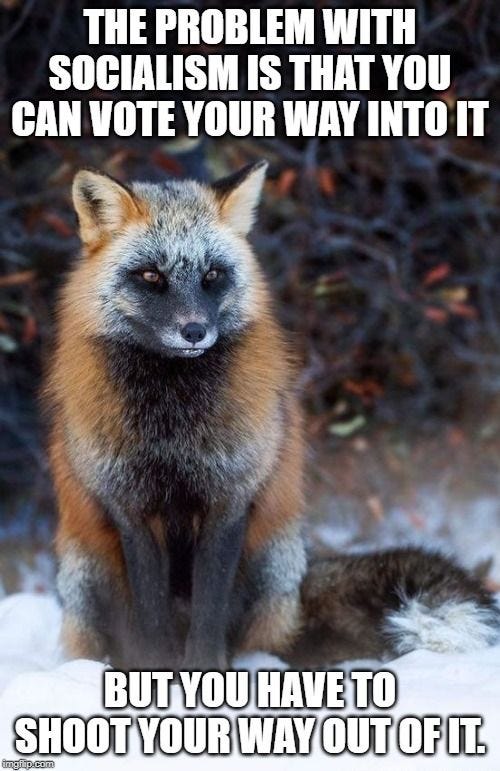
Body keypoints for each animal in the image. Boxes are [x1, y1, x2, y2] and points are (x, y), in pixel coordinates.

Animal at [44, 161, 500, 671]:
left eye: (212, 274)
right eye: (150, 276)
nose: (194, 331)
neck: (172, 426)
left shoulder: (230, 501)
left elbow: (209, 615)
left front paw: (205, 678)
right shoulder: (132, 511)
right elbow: (151, 620)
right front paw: (156, 676)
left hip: (270, 564)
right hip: (85, 576)